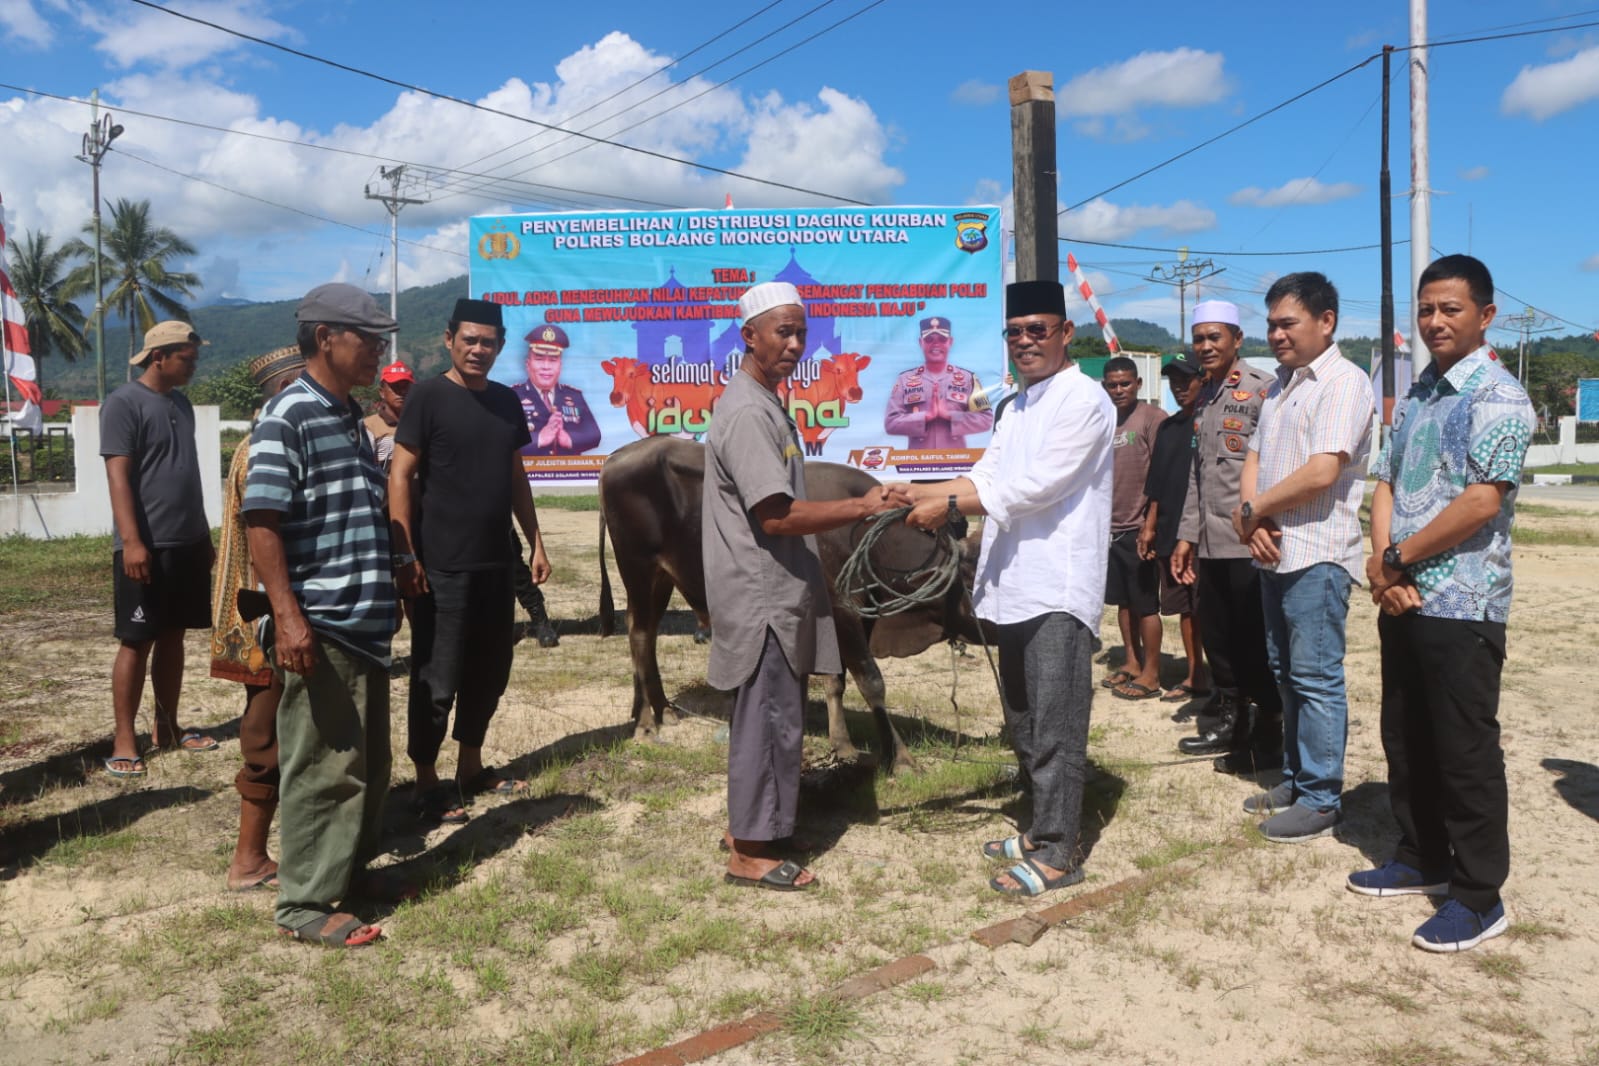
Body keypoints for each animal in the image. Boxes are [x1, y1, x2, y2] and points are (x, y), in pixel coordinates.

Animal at [594, 434, 978, 776]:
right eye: (974, 578)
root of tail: (617, 457)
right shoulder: (841, 613)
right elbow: (871, 681)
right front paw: (901, 759)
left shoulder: (855, 618)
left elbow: (836, 680)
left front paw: (843, 746)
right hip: (638, 568)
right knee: (639, 636)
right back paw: (646, 723)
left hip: (662, 578)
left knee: (645, 636)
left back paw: (660, 709)